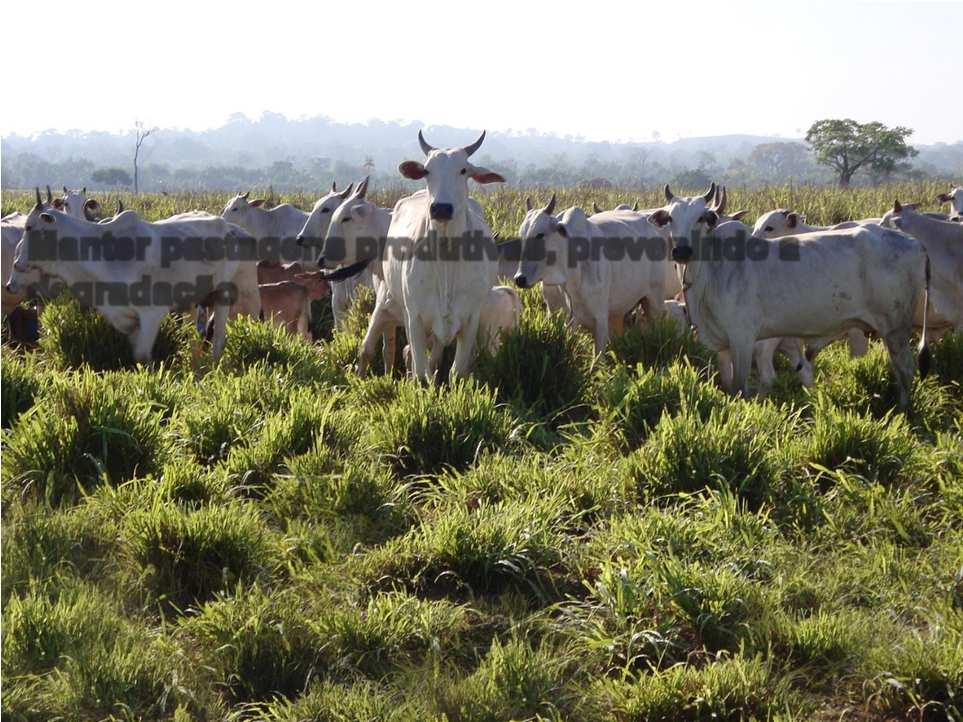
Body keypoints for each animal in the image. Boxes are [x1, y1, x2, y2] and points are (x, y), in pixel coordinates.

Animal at [5, 198, 260, 358]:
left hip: (227, 295)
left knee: (219, 338)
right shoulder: (127, 320)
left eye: (29, 227)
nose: (16, 264)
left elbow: (142, 357)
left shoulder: (151, 314)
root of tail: (232, 229)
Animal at [516, 194, 668, 352]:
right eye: (521, 235)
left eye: (540, 235)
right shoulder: (563, 316)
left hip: (654, 300)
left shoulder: (600, 318)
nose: (519, 279)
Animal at [676, 217, 932, 402]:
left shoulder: (742, 338)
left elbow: (741, 388)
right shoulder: (724, 345)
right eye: (670, 218)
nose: (681, 251)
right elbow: (730, 384)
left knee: (906, 368)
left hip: (895, 327)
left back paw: (903, 410)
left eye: (699, 218)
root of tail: (916, 243)